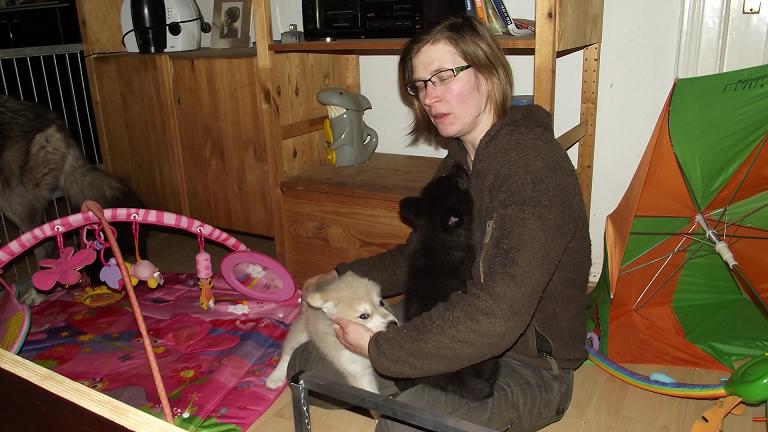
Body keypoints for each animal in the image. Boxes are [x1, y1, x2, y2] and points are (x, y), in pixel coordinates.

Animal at [266, 276, 396, 394]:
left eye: (381, 302)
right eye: (364, 316)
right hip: (301, 332)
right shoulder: (358, 373)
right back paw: (275, 377)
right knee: (288, 351)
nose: (393, 324)